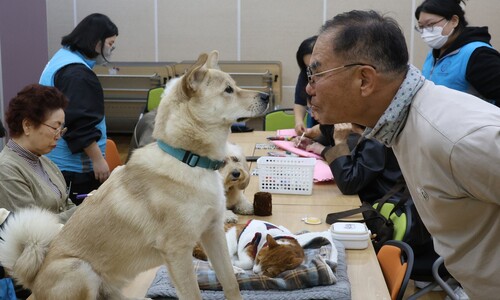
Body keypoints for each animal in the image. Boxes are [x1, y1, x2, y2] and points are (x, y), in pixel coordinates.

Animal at [0, 51, 270, 300]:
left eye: (234, 85)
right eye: (228, 90)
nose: (266, 96)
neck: (188, 159)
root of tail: (33, 278)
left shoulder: (212, 232)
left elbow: (230, 282)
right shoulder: (177, 251)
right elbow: (193, 294)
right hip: (80, 269)